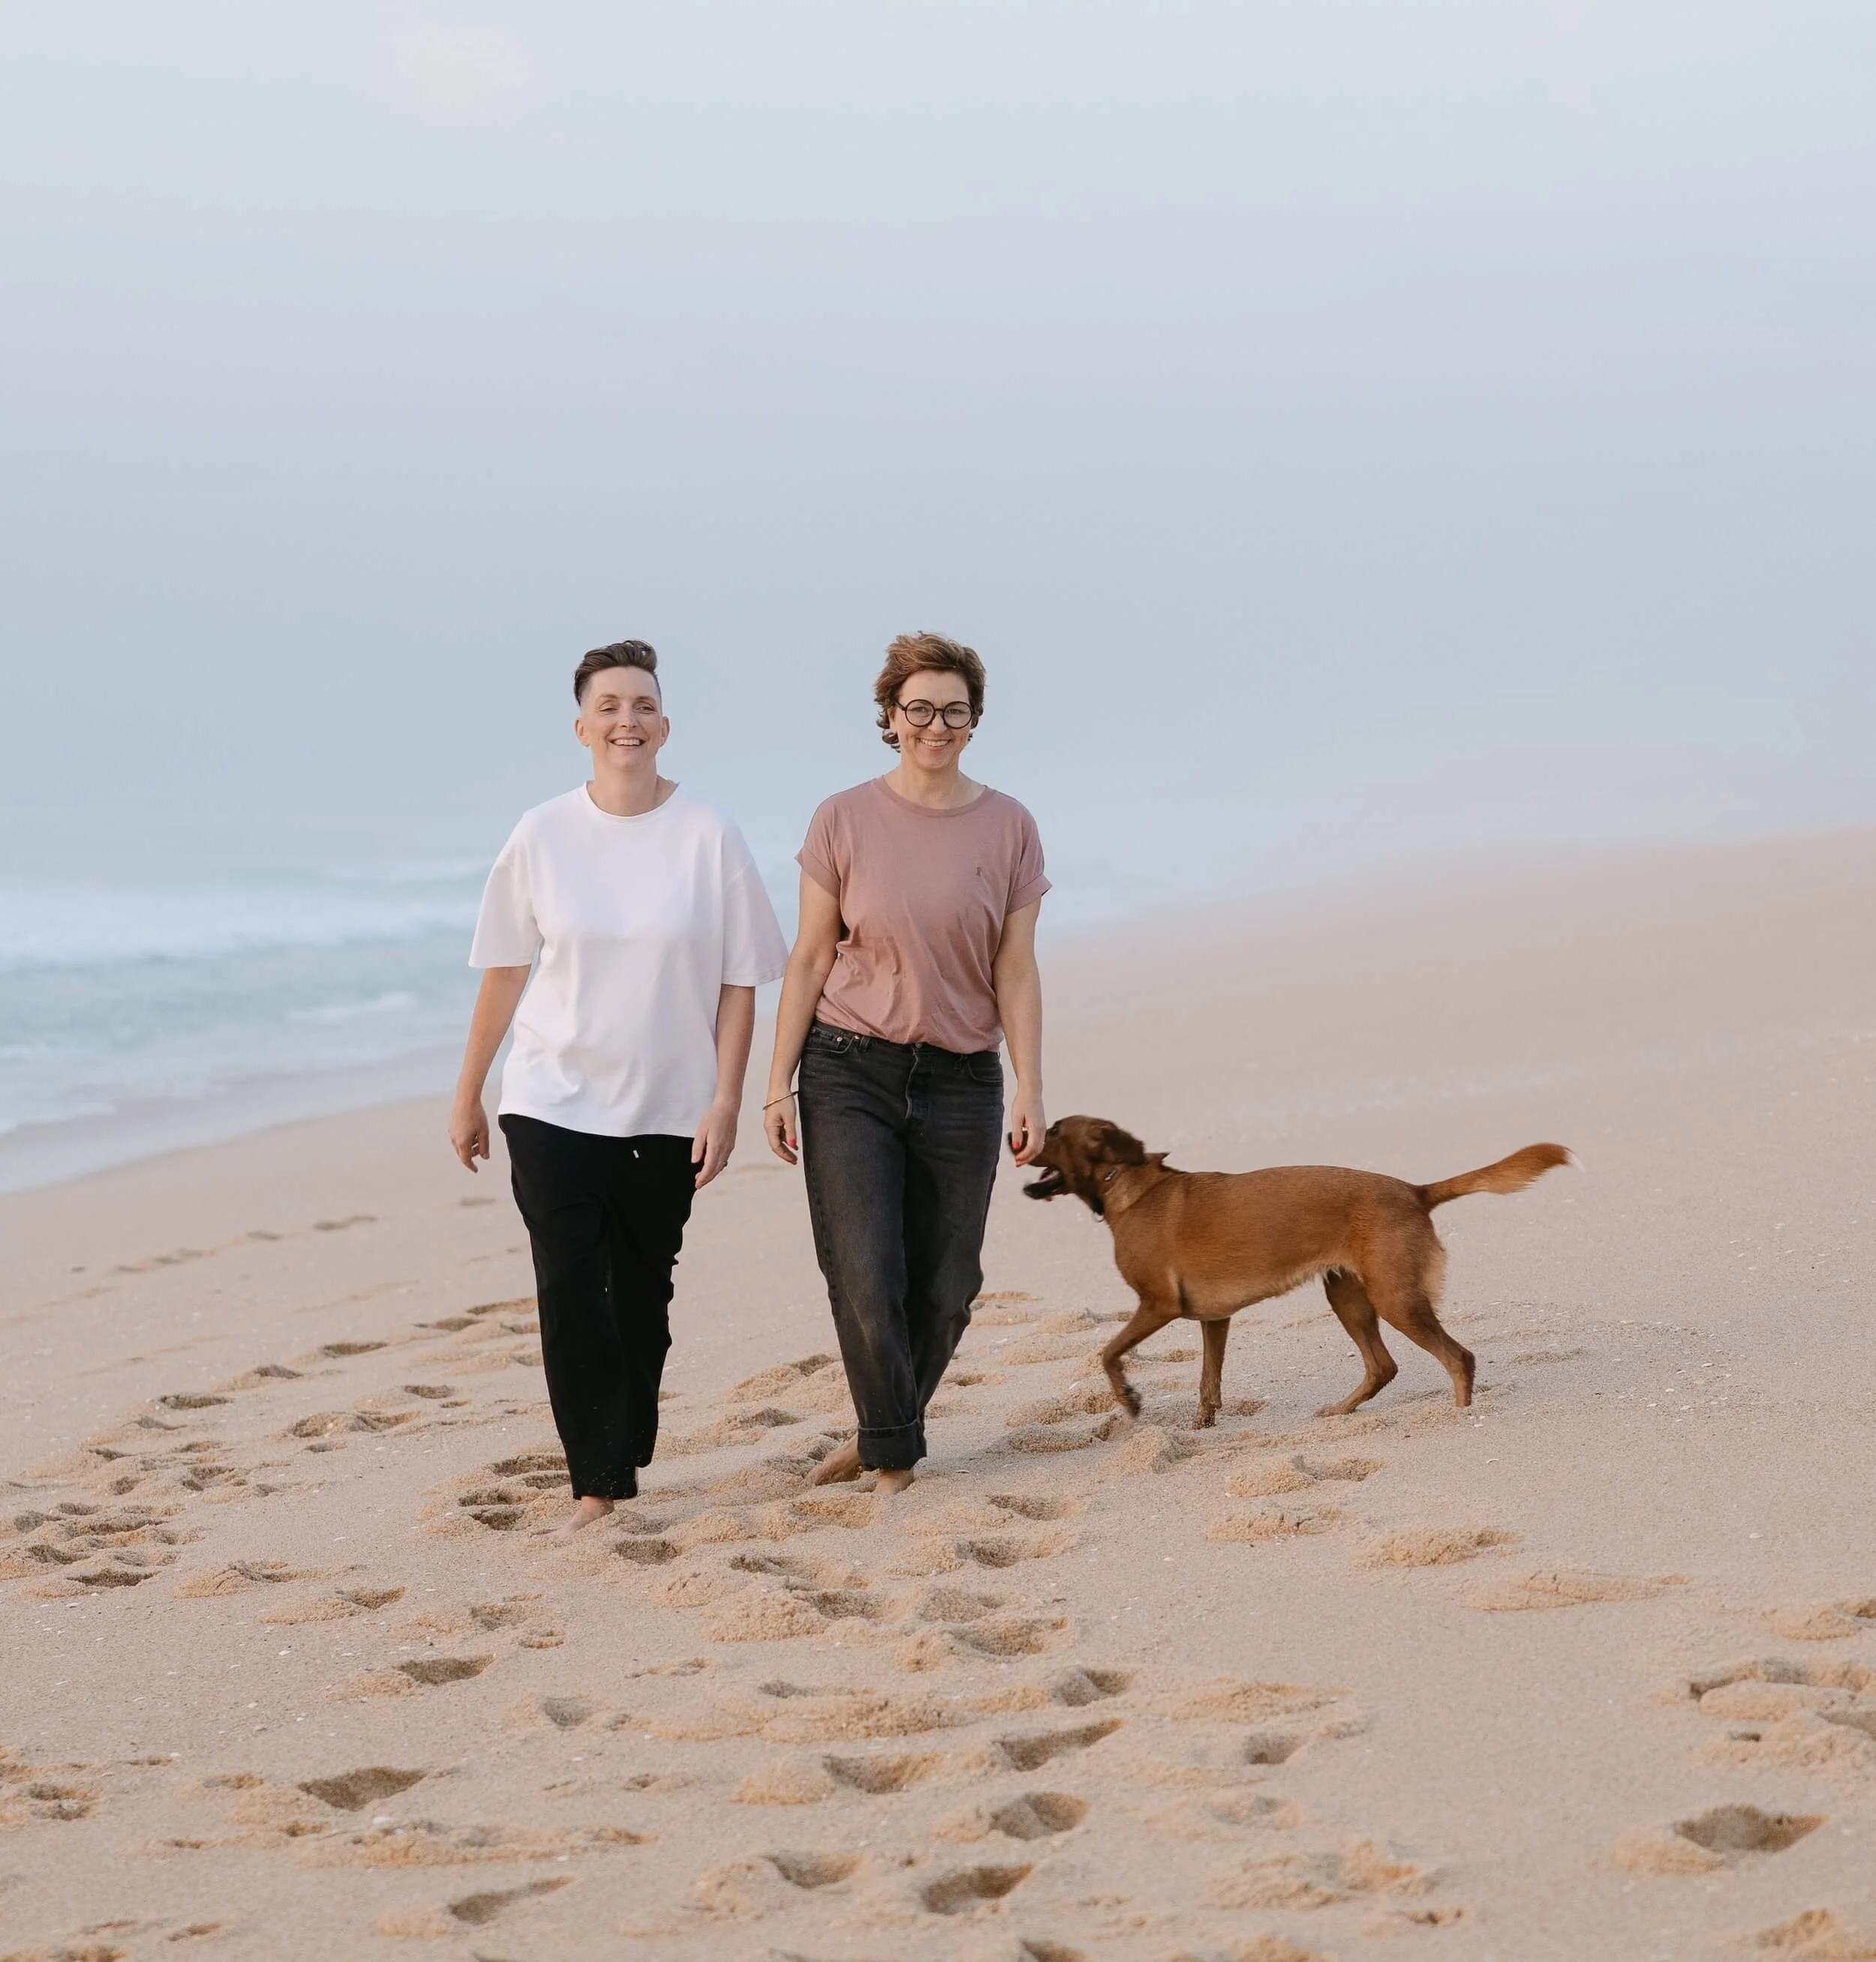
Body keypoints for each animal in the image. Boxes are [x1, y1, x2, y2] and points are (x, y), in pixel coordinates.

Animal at [1022, 1115, 1571, 1427]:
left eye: (1054, 1130)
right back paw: (1341, 1412)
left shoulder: (1157, 1305)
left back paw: (1457, 1417)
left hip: (1395, 1299)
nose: (1015, 1138)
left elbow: (1107, 1354)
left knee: (1459, 1358)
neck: (1129, 1185)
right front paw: (1200, 1430)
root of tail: (1415, 1190)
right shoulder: (1214, 1318)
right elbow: (1208, 1384)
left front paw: (1132, 1401)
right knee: (1383, 1366)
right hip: (1348, 1297)